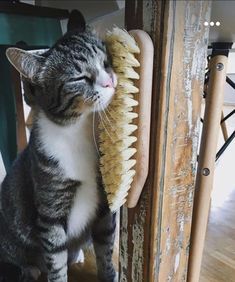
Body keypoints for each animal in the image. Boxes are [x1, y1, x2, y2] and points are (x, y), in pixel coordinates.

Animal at [0, 9, 117, 280]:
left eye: (106, 61)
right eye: (80, 77)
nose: (110, 82)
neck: (78, 129)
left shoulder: (105, 205)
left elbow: (106, 245)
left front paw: (109, 273)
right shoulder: (50, 213)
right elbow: (55, 260)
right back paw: (29, 269)